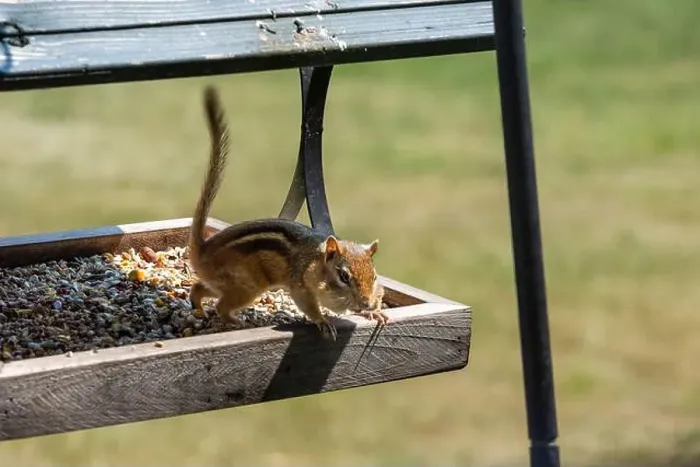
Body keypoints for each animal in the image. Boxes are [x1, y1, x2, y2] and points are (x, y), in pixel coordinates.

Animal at [187, 86, 389, 341]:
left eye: (374, 276)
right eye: (344, 276)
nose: (366, 303)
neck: (317, 261)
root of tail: (203, 250)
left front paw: (376, 312)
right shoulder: (301, 285)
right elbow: (309, 307)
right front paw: (324, 322)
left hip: (223, 284)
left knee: (199, 288)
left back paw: (199, 308)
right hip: (247, 286)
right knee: (221, 306)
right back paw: (236, 322)